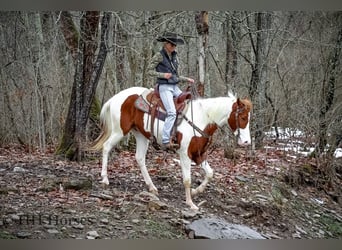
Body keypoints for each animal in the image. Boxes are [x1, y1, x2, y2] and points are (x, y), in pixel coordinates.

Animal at [89, 87, 252, 210]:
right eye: (243, 117)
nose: (246, 142)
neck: (201, 118)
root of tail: (116, 97)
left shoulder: (199, 154)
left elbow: (210, 173)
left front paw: (195, 192)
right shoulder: (185, 154)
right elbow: (187, 180)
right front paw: (191, 203)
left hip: (141, 135)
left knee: (140, 158)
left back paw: (151, 187)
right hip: (119, 131)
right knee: (106, 147)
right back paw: (105, 178)